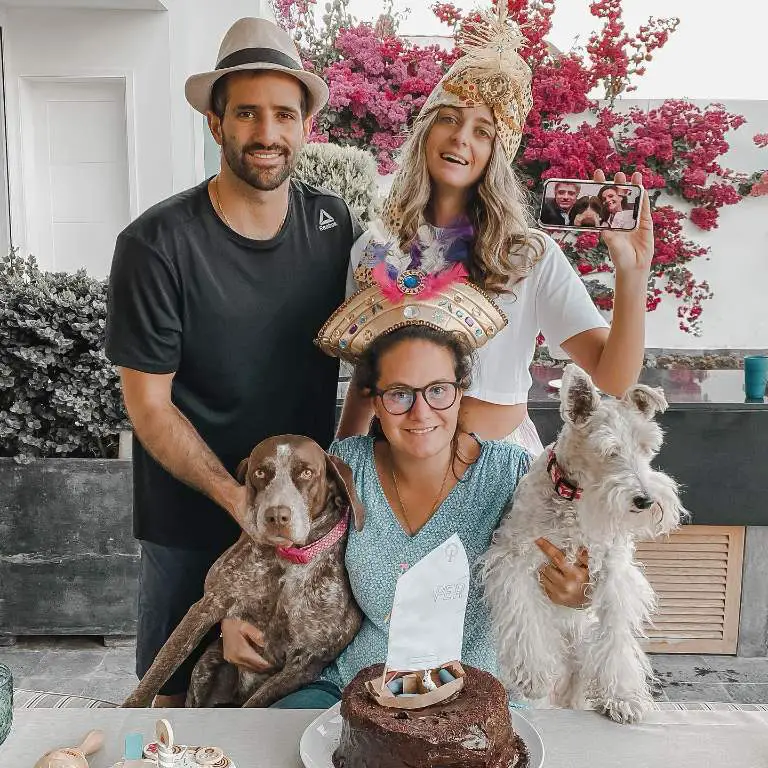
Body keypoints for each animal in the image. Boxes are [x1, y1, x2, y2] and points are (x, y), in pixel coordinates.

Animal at [124, 436, 366, 712]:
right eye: (260, 473)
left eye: (306, 473)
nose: (277, 516)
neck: (287, 561)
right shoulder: (208, 604)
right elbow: (159, 668)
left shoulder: (308, 661)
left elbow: (256, 703)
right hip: (207, 665)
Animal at [484, 364, 688, 724]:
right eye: (609, 450)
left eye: (648, 447)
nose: (645, 500)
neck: (573, 499)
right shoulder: (514, 558)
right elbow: (524, 617)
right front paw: (532, 675)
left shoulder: (613, 571)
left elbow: (615, 635)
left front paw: (622, 698)